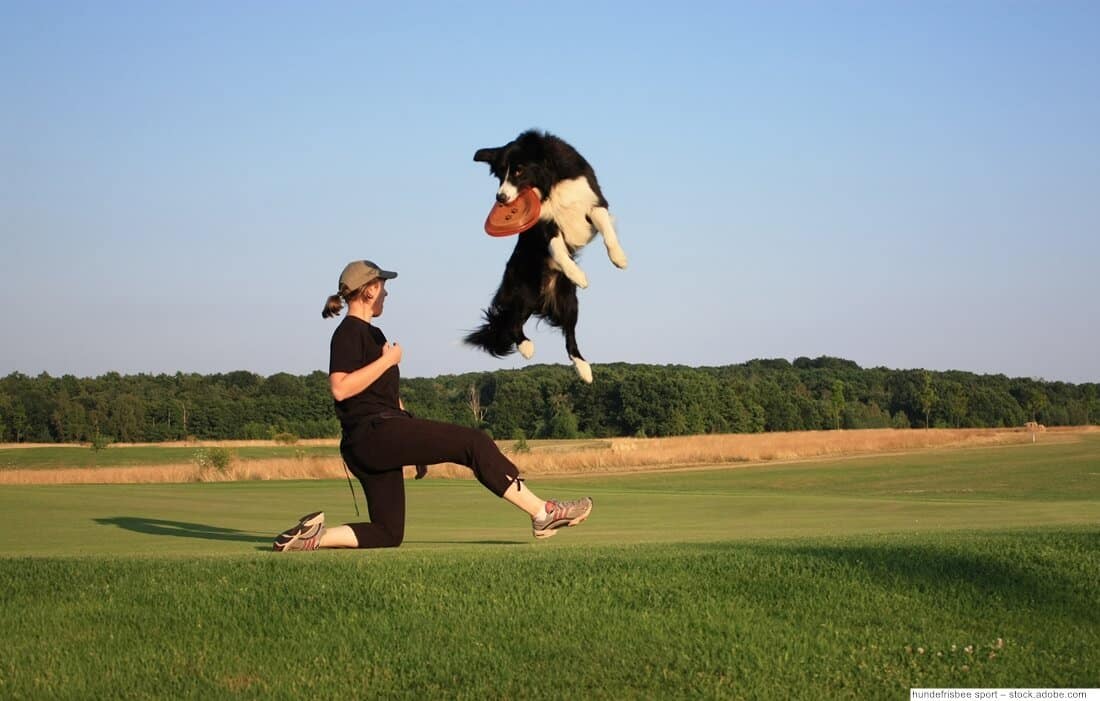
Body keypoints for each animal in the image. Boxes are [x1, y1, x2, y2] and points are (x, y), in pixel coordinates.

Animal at [462, 130, 629, 382]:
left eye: (518, 170)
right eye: (500, 174)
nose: (500, 198)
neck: (550, 183)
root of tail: (542, 300)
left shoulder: (593, 201)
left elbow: (607, 230)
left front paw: (619, 258)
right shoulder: (545, 224)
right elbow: (557, 249)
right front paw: (577, 274)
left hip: (569, 301)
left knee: (569, 336)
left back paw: (584, 370)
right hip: (524, 290)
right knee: (512, 323)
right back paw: (526, 347)